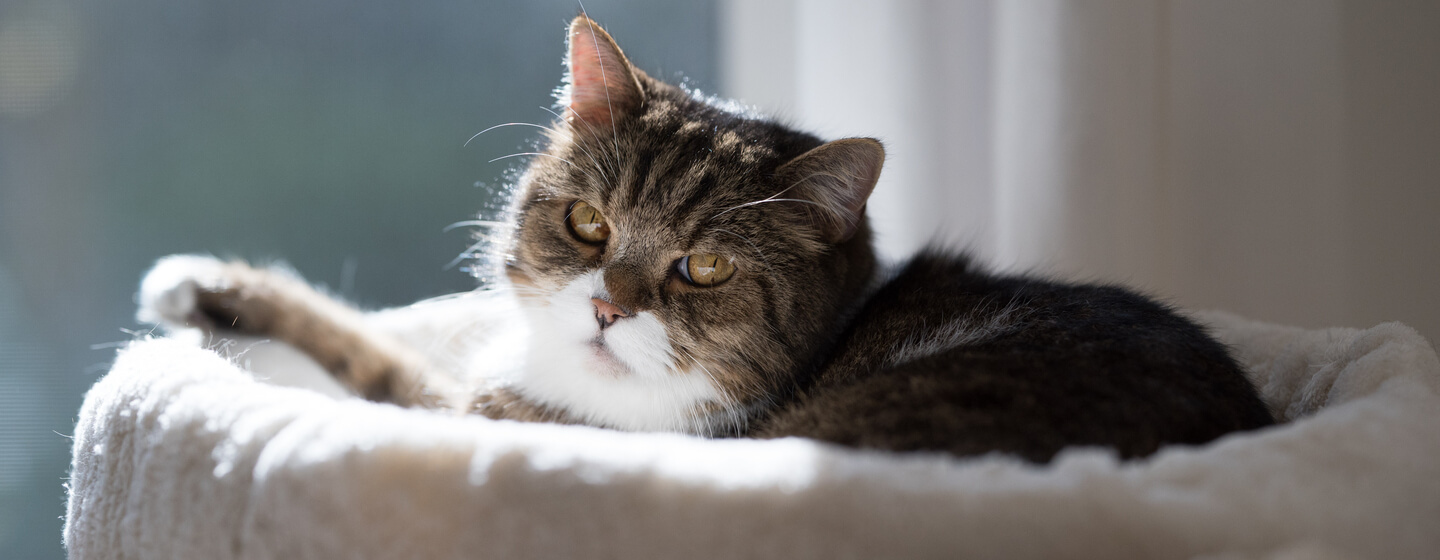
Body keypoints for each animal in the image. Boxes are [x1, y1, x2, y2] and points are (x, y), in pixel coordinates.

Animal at [137, 16, 1272, 463]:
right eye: (589, 222)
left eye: (707, 266)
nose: (608, 304)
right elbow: (381, 341)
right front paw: (209, 288)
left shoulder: (498, 417)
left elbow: (389, 378)